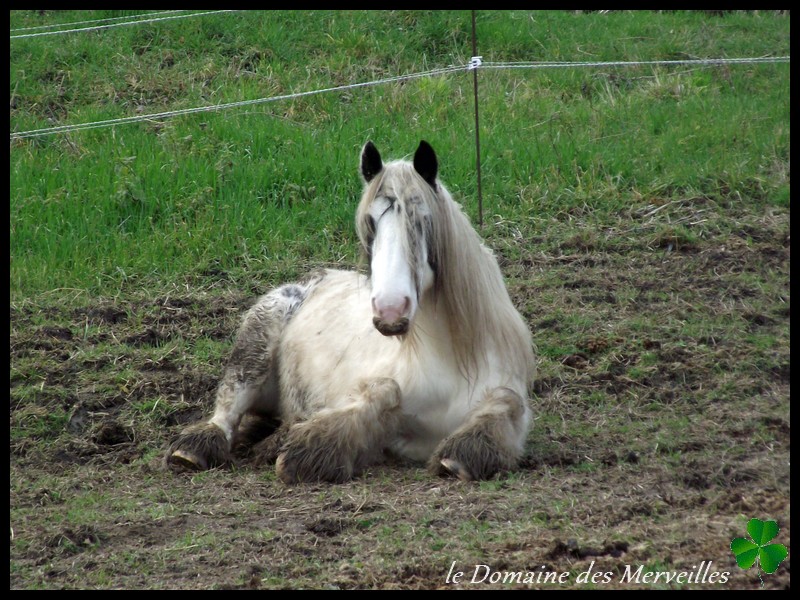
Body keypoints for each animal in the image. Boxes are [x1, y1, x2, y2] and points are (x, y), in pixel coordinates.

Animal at [165, 141, 536, 482]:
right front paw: (309, 448)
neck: (446, 360)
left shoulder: (506, 395)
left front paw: (461, 454)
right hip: (255, 347)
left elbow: (507, 401)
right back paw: (197, 449)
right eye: (370, 224)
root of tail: (312, 279)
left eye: (421, 220)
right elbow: (384, 390)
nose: (390, 309)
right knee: (228, 409)